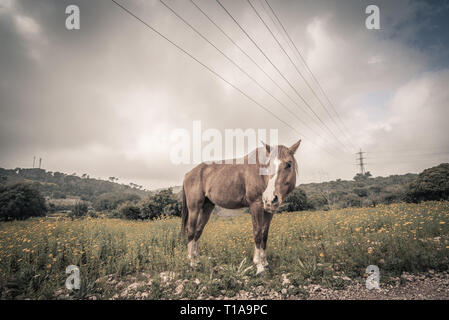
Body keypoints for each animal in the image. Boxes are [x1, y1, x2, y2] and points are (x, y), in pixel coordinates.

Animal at [179, 141, 300, 276]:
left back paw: (197, 260)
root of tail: (188, 174)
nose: (270, 198)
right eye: (268, 165)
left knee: (198, 231)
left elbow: (264, 234)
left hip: (207, 207)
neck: (260, 175)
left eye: (288, 164)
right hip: (194, 208)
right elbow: (257, 233)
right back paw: (191, 262)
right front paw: (259, 266)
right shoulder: (255, 205)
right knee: (191, 231)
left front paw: (265, 263)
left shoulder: (268, 210)